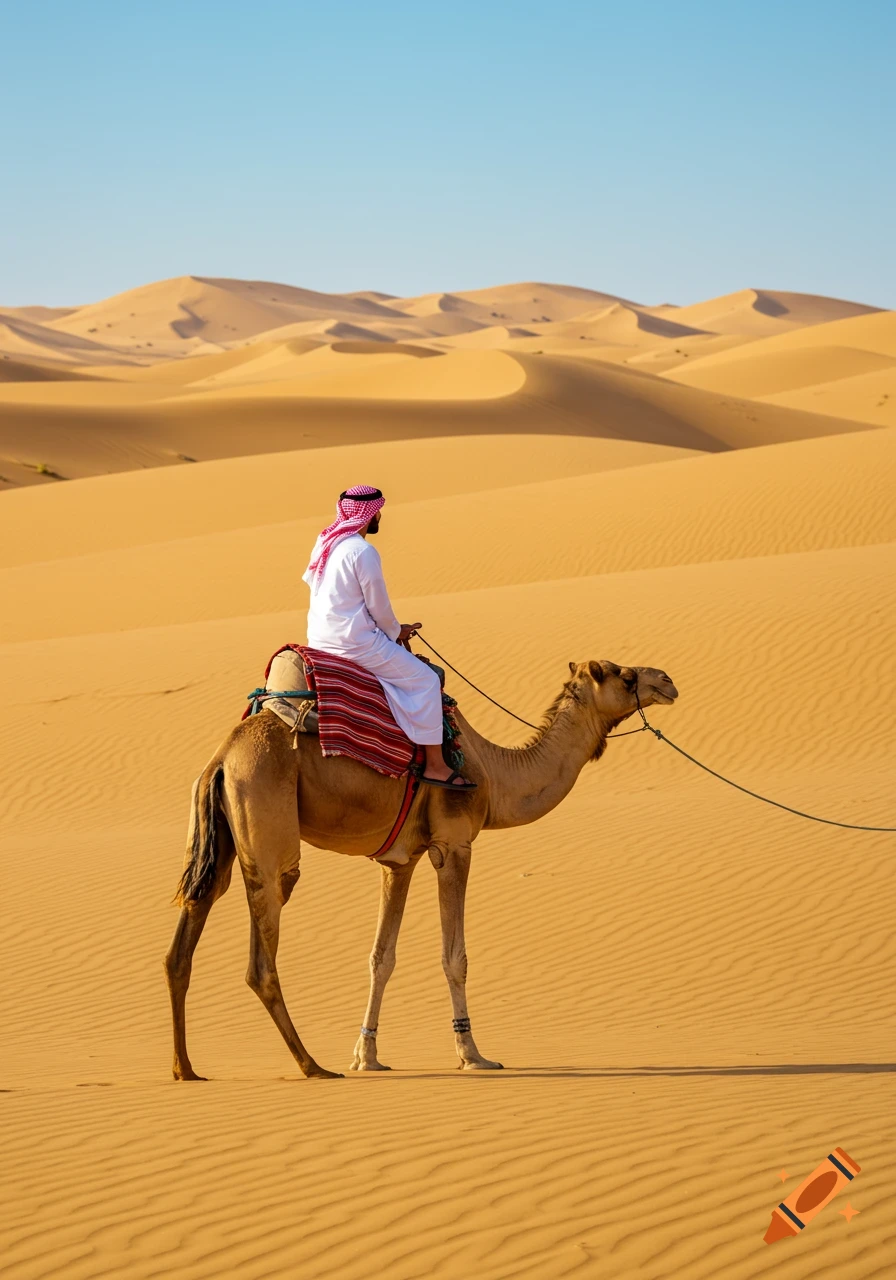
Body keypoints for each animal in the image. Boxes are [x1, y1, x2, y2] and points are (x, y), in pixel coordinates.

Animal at [165, 658, 678, 1079]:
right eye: (623, 675)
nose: (667, 680)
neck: (494, 772)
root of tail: (221, 759)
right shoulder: (454, 843)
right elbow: (455, 957)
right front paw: (473, 1055)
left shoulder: (400, 860)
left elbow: (381, 958)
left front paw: (367, 1056)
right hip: (268, 825)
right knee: (263, 952)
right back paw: (312, 1066)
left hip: (219, 838)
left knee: (189, 928)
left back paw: (186, 1069)